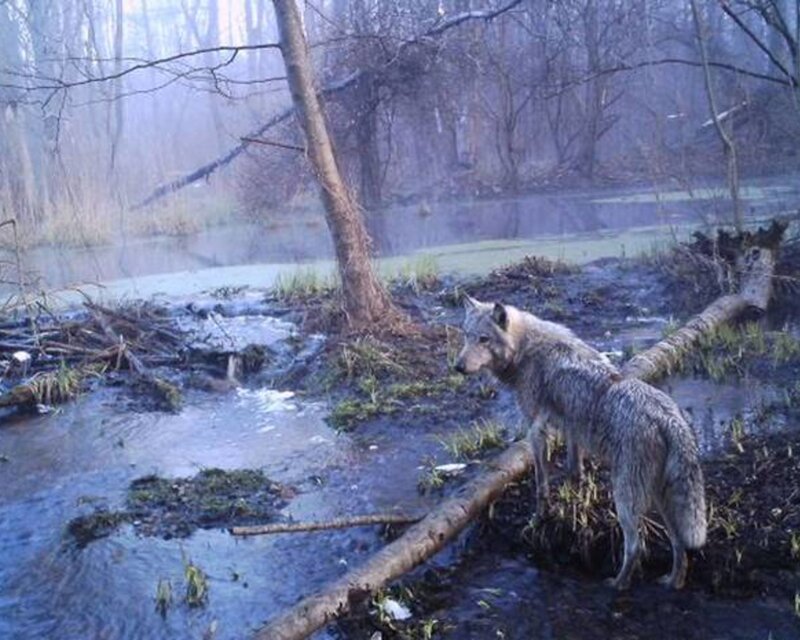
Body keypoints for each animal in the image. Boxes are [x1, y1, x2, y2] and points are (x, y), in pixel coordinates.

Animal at [454, 295, 707, 590]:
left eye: (483, 339)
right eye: (466, 335)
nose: (458, 367)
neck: (525, 350)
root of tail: (669, 418)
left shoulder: (537, 432)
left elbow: (541, 485)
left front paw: (539, 519)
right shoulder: (571, 429)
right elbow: (575, 471)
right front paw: (575, 505)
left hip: (626, 499)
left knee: (636, 547)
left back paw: (617, 584)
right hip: (659, 498)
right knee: (679, 544)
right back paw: (672, 582)